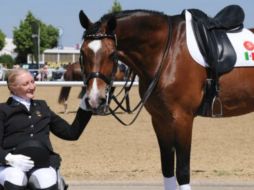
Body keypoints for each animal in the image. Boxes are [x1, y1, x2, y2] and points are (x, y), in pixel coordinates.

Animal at [78, 6, 253, 189]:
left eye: (112, 54)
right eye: (82, 52)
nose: (94, 99)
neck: (167, 53)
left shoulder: (183, 119)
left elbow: (182, 172)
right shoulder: (160, 120)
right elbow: (167, 168)